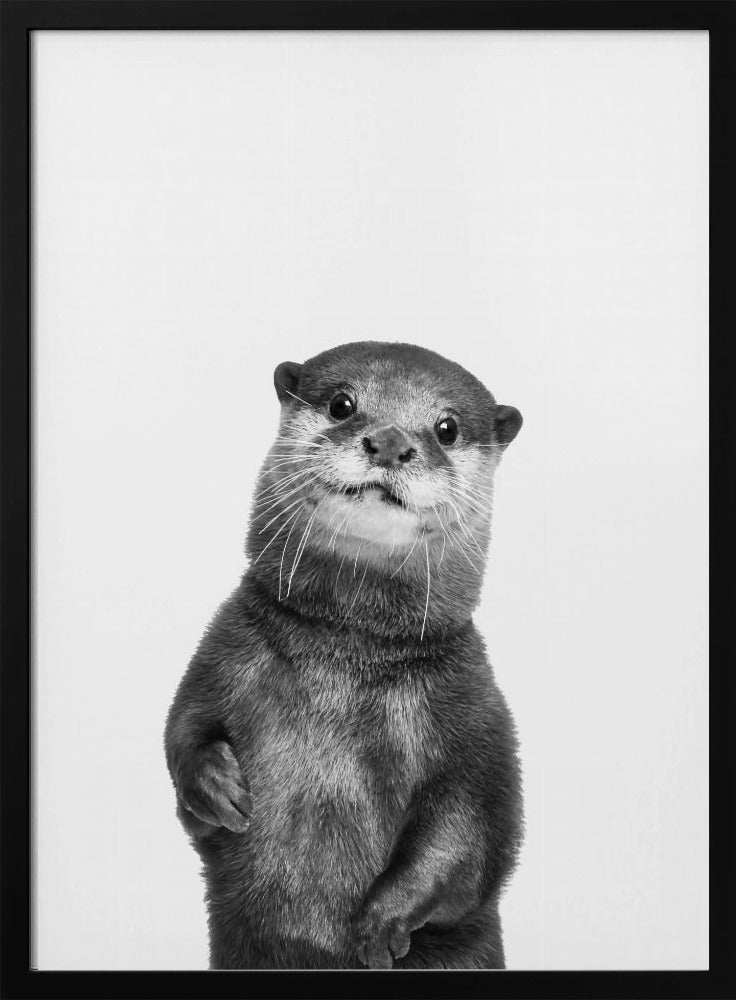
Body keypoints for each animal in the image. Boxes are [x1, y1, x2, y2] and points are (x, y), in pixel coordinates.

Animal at [164, 341, 523, 970]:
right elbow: (182, 729)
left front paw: (382, 921)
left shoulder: (475, 713)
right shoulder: (222, 654)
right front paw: (215, 785)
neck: (345, 658)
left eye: (447, 428)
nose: (390, 442)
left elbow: (472, 832)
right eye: (342, 404)